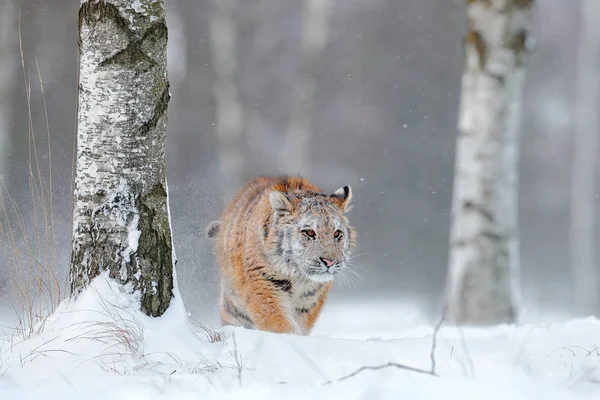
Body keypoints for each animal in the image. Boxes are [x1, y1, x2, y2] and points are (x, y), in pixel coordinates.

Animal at [207, 175, 356, 334]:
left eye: (337, 233)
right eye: (310, 232)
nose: (329, 262)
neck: (298, 277)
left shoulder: (309, 302)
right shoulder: (264, 286)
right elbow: (281, 325)